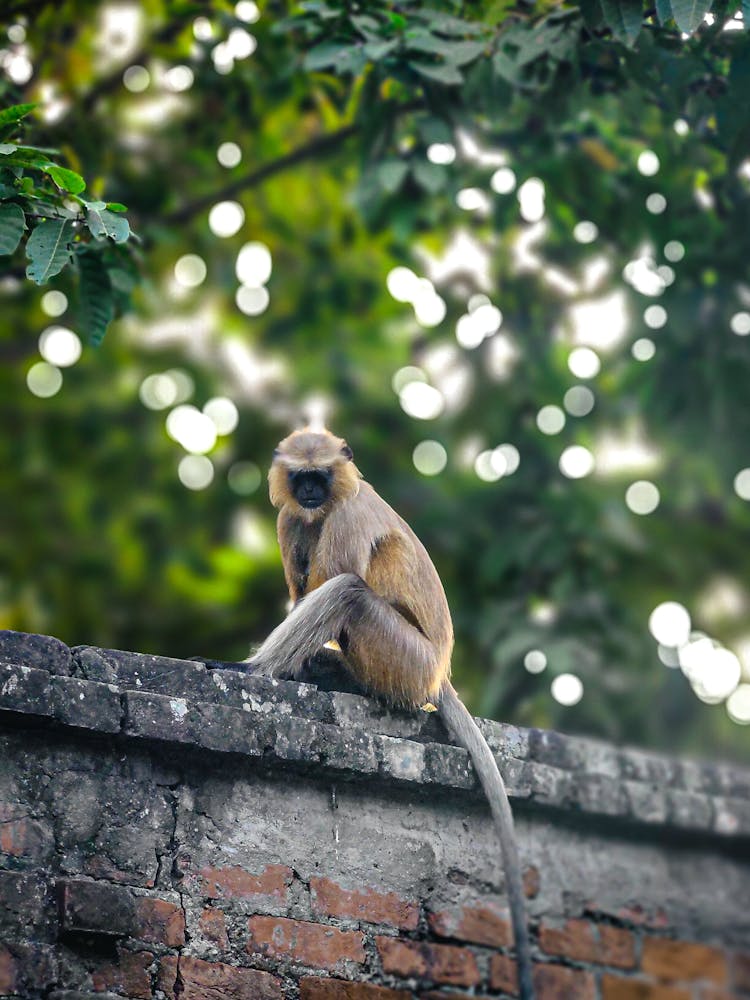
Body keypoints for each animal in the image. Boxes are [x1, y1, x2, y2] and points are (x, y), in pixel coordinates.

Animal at [247, 426, 536, 996]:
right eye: (301, 477)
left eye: (320, 477)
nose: (310, 494)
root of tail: (439, 671)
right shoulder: (291, 519)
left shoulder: (348, 512)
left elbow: (327, 582)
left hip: (405, 660)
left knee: (348, 591)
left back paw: (254, 669)